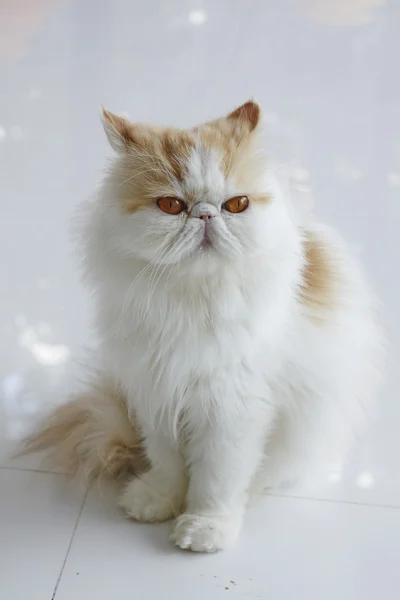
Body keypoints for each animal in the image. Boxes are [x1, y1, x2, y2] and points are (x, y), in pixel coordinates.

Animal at [22, 99, 384, 552]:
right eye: (171, 206)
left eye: (237, 204)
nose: (206, 215)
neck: (192, 301)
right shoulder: (157, 391)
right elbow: (167, 463)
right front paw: (158, 501)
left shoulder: (231, 408)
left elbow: (216, 478)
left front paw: (205, 528)